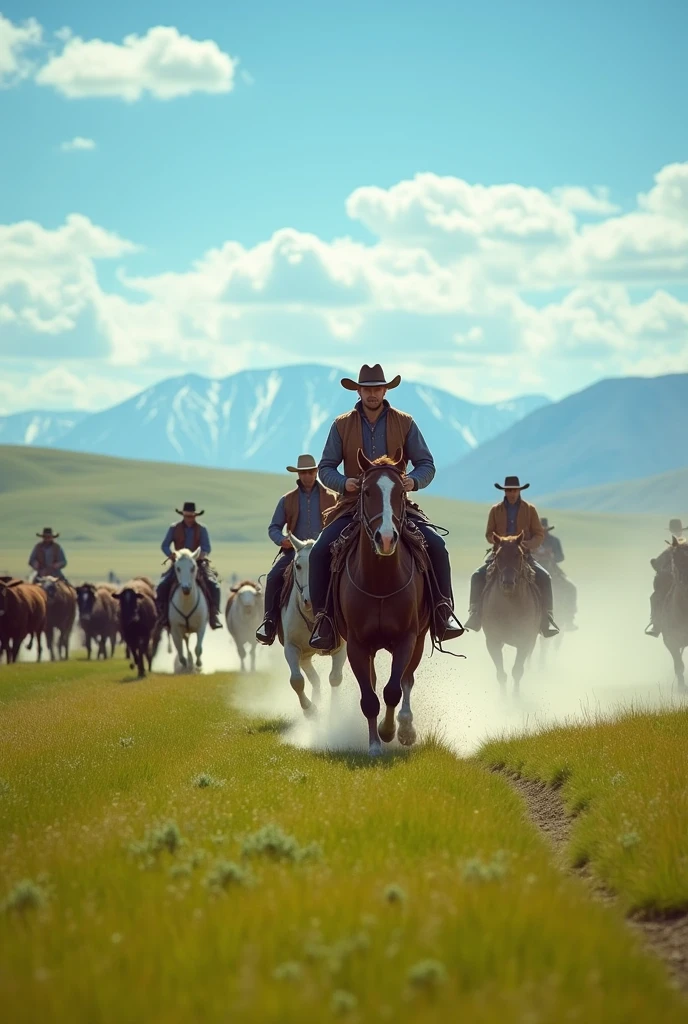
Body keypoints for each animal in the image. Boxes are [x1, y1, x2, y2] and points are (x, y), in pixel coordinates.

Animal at [278, 536, 346, 720]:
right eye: (298, 565)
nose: (309, 600)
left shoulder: (340, 647)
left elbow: (335, 678)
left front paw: (334, 711)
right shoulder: (292, 647)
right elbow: (296, 681)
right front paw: (309, 709)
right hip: (305, 655)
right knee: (314, 679)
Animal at [333, 452, 430, 757]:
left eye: (400, 492)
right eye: (366, 491)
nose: (386, 539)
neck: (380, 582)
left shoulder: (407, 639)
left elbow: (393, 690)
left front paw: (390, 731)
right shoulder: (356, 645)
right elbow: (370, 697)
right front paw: (375, 744)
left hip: (420, 639)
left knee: (407, 680)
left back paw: (406, 727)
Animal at [481, 528, 540, 696]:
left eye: (518, 555)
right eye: (498, 556)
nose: (508, 583)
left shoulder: (525, 641)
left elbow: (517, 671)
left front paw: (515, 697)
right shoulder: (493, 641)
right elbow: (501, 673)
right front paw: (503, 698)